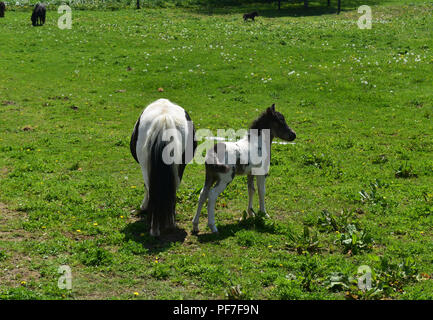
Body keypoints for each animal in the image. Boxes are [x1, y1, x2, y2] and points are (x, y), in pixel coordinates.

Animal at [128, 99, 196, 236]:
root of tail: (164, 118)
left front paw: (143, 207)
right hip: (178, 169)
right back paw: (170, 224)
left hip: (146, 168)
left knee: (151, 188)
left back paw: (155, 228)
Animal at [192, 104, 294, 234]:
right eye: (280, 121)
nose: (293, 135)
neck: (258, 143)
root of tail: (213, 153)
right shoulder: (262, 173)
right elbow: (261, 191)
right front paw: (264, 214)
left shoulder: (250, 173)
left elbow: (251, 190)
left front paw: (251, 213)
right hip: (225, 179)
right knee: (212, 195)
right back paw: (213, 227)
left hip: (210, 176)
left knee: (203, 194)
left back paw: (195, 225)